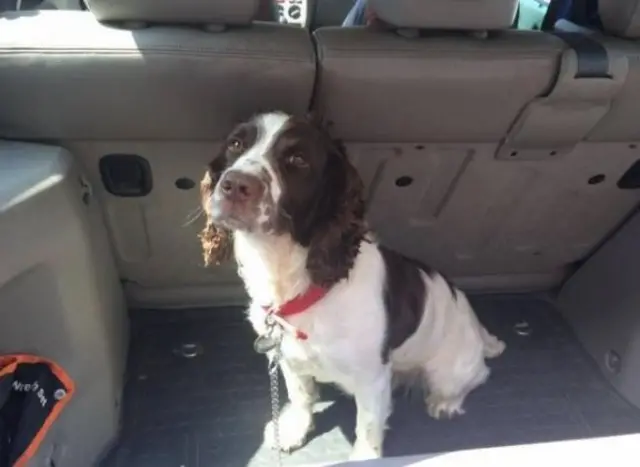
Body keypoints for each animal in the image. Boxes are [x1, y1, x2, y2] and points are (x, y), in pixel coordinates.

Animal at [200, 112, 504, 460]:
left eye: (298, 159)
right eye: (236, 144)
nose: (236, 185)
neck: (300, 284)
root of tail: (475, 324)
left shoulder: (372, 378)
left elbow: (368, 424)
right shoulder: (287, 356)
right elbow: (301, 395)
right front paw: (293, 430)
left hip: (448, 371)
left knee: (475, 376)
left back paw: (445, 402)